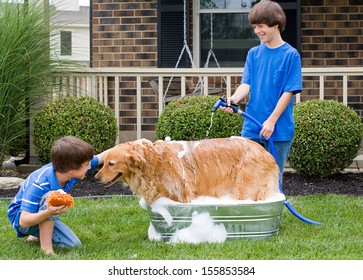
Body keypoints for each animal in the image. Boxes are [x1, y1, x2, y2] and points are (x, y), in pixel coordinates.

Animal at [95, 137, 280, 205]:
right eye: (103, 163)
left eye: (111, 164)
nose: (95, 177)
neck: (154, 161)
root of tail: (266, 152)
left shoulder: (184, 194)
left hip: (244, 187)